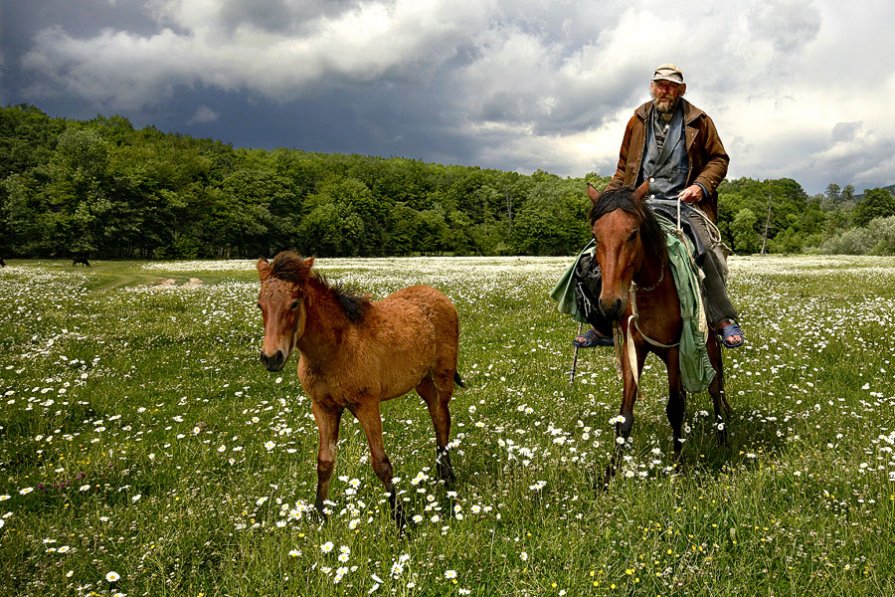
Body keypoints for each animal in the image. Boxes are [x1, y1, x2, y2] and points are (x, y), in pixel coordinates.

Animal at [254, 251, 458, 528]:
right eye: (260, 305)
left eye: (294, 304)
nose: (271, 358)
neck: (334, 351)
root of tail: (440, 296)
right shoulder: (323, 407)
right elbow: (324, 462)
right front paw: (319, 515)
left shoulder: (366, 404)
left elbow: (381, 464)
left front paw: (401, 521)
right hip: (422, 381)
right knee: (436, 414)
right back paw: (441, 473)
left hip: (442, 375)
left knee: (443, 417)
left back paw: (448, 478)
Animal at [588, 184, 728, 486]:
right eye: (596, 235)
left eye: (633, 233)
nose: (610, 304)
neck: (651, 290)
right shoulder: (633, 349)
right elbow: (625, 416)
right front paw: (608, 477)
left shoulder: (675, 349)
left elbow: (675, 409)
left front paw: (677, 470)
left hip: (709, 345)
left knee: (715, 389)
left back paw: (723, 442)